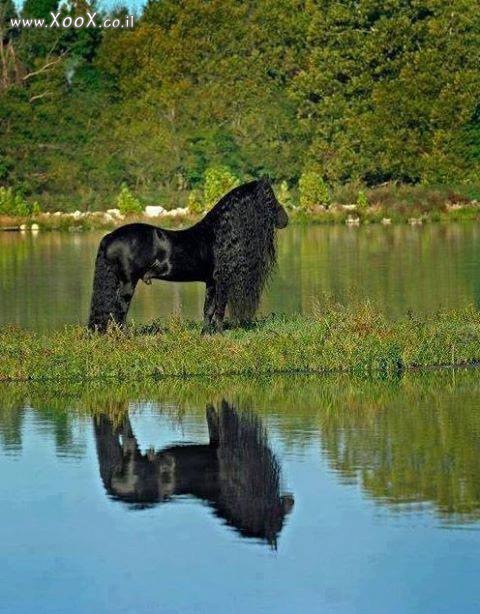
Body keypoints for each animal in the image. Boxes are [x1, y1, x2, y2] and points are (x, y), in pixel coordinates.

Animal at [87, 179, 288, 332]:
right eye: (270, 198)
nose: (286, 220)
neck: (217, 234)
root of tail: (110, 236)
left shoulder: (211, 282)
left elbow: (209, 310)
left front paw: (206, 334)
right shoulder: (221, 280)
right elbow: (219, 309)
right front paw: (220, 334)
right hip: (128, 282)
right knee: (119, 312)